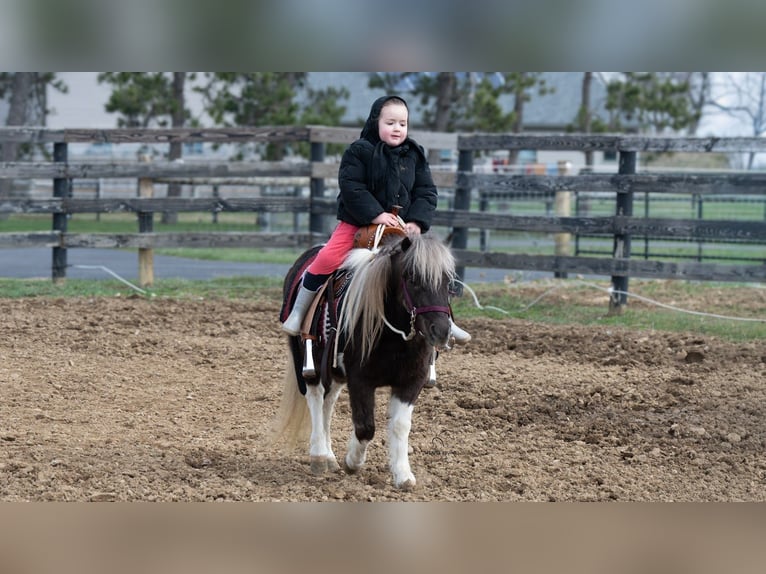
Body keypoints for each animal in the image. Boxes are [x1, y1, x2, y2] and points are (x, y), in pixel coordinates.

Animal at [273, 232, 457, 489]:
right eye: (412, 277)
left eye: (448, 281)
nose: (440, 331)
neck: (392, 335)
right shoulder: (360, 380)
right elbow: (365, 427)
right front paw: (353, 461)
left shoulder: (411, 381)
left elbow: (400, 426)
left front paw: (402, 474)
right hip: (311, 364)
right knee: (316, 398)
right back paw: (319, 455)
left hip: (335, 372)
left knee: (328, 403)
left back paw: (329, 457)